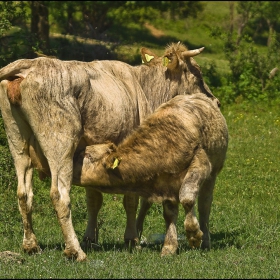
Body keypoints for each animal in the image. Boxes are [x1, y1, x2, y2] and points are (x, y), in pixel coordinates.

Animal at [0, 41, 219, 260]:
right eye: (198, 76)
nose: (215, 101)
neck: (145, 87)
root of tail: (30, 65)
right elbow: (130, 199)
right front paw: (131, 239)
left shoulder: (88, 154)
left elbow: (93, 199)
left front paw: (90, 238)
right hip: (60, 141)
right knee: (59, 195)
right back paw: (75, 251)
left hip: (17, 141)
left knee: (23, 193)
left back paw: (31, 245)